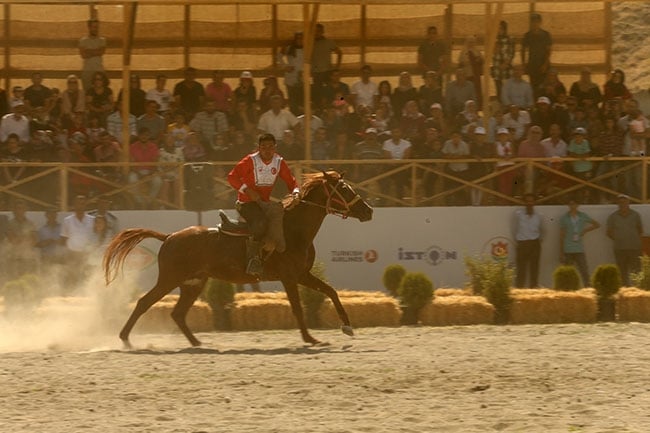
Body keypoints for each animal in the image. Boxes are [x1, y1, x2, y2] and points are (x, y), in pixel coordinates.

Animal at [104, 170, 372, 348]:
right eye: (344, 189)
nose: (369, 210)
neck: (292, 230)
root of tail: (169, 236)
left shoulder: (302, 275)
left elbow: (331, 292)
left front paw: (347, 327)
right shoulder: (289, 278)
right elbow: (297, 308)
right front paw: (310, 338)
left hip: (193, 283)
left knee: (178, 313)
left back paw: (197, 343)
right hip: (170, 280)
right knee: (144, 303)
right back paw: (125, 339)